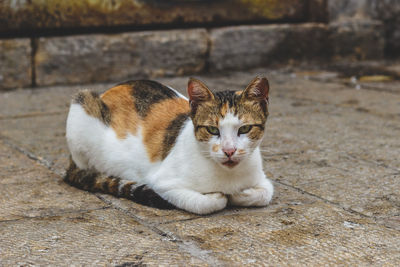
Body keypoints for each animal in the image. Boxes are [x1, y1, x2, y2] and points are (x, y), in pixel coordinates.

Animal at [64, 76, 274, 215]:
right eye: (212, 130)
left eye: (245, 128)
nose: (229, 150)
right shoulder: (162, 184)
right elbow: (205, 203)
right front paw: (220, 197)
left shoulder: (261, 179)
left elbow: (265, 193)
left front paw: (239, 194)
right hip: (81, 101)